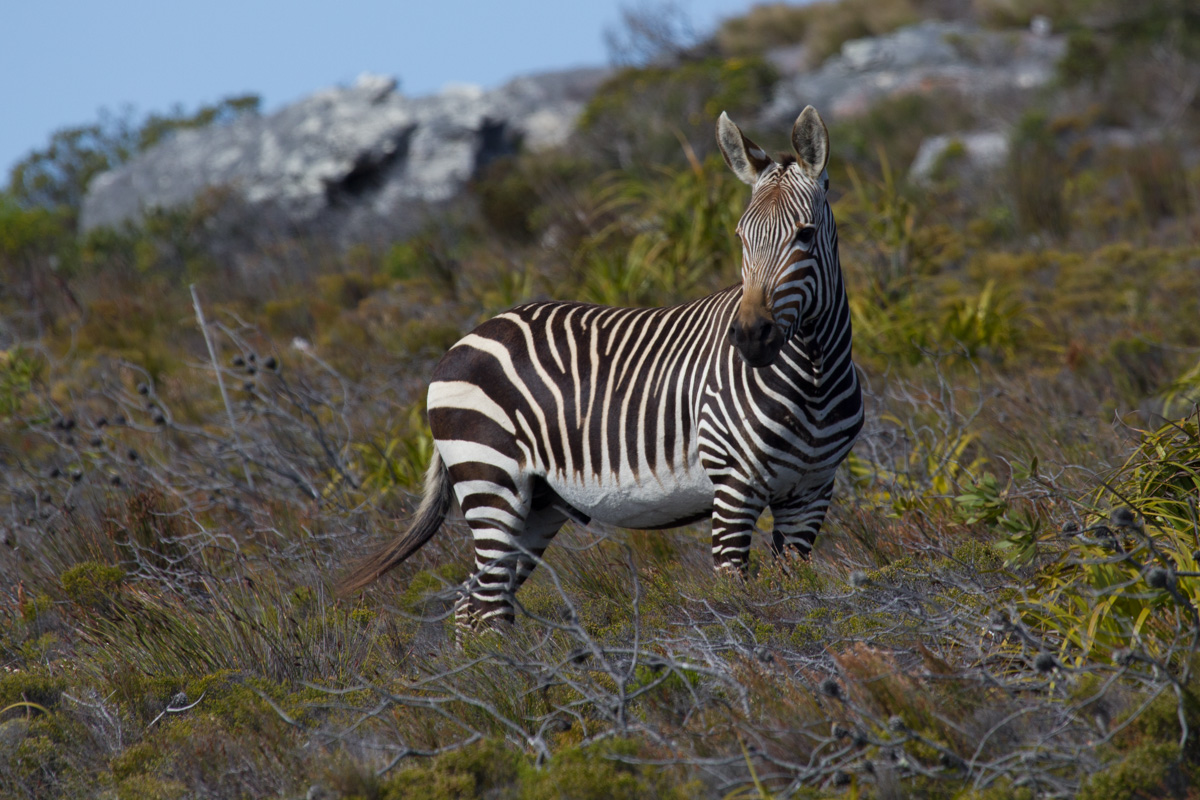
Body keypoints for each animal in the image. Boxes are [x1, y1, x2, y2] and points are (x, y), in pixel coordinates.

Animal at [340, 106, 864, 628]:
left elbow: (794, 593)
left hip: (538, 504)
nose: (750, 336)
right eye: (740, 237)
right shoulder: (735, 486)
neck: (813, 377)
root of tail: (461, 342)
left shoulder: (811, 493)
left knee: (473, 605)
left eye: (805, 234)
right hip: (492, 481)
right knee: (485, 606)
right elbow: (740, 602)